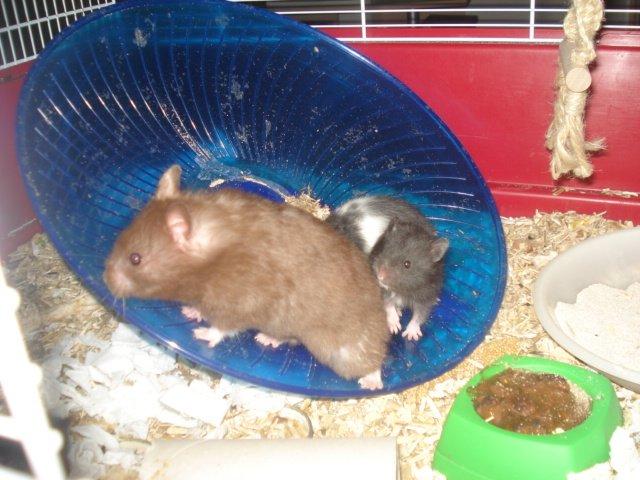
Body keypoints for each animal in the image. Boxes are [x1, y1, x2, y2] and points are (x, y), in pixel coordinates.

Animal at [103, 165, 390, 390]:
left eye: (135, 259)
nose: (105, 279)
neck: (210, 259)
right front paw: (190, 312)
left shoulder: (240, 303)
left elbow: (223, 327)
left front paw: (201, 334)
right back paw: (266, 339)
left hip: (341, 348)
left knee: (373, 359)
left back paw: (371, 382)